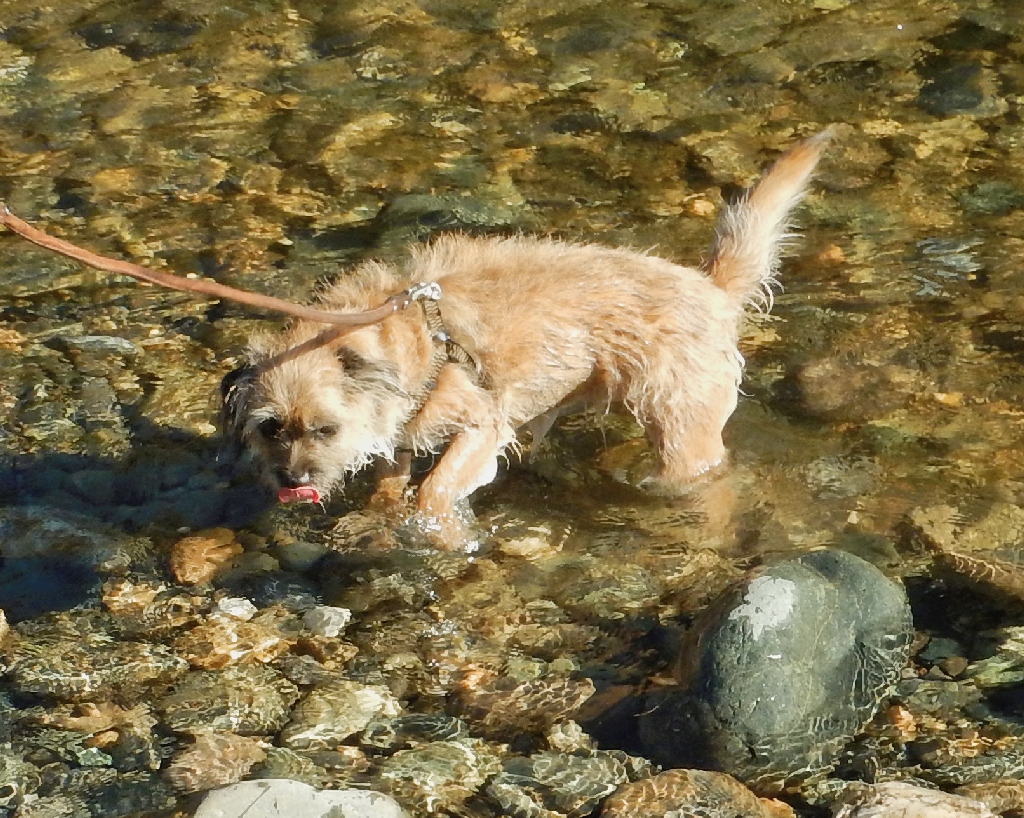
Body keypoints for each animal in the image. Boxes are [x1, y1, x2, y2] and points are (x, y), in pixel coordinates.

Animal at [221, 133, 826, 547]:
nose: (291, 479)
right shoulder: (400, 431)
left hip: (683, 435)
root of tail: (711, 287)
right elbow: (391, 481)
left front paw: (442, 532)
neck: (412, 336)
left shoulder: (482, 424)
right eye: (271, 428)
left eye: (325, 429)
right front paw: (383, 514)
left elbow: (435, 488)